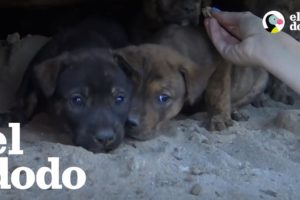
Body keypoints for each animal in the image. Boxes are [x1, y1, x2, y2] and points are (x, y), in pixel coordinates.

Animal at [0, 19, 132, 153]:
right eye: (77, 100)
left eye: (119, 99)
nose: (105, 138)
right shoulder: (34, 69)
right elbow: (27, 96)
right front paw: (12, 117)